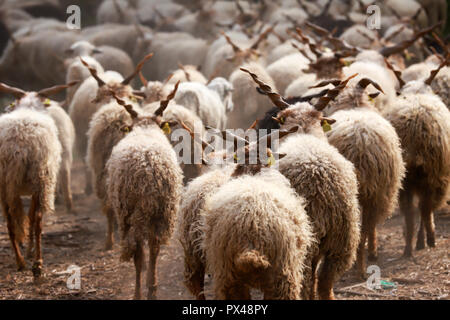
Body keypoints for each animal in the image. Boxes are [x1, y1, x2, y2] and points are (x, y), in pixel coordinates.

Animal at [0, 82, 76, 278]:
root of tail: (19, 143)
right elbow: (32, 217)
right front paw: (30, 250)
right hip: (42, 178)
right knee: (38, 220)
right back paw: (37, 264)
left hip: (5, 184)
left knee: (10, 222)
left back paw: (20, 262)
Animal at [105, 81, 183, 298]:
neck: (146, 128)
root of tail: (147, 165)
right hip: (162, 210)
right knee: (153, 249)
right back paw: (151, 289)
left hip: (131, 213)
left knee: (140, 252)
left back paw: (140, 292)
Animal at [244, 68, 360, 300]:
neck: (305, 131)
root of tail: (320, 181)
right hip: (344, 239)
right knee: (326, 280)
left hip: (305, 243)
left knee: (307, 279)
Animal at [384, 57, 450, 256]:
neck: (416, 93)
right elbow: (427, 210)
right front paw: (429, 238)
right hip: (431, 173)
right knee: (424, 209)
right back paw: (426, 240)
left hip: (404, 178)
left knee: (409, 211)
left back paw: (408, 246)